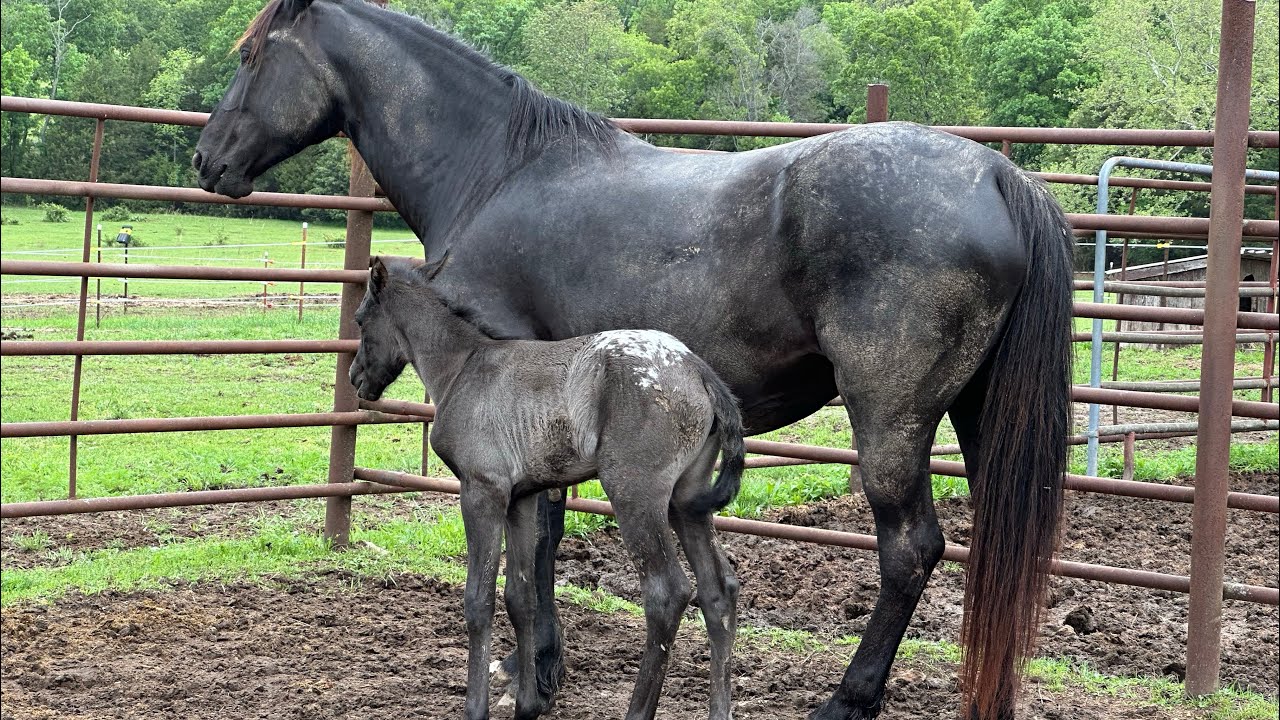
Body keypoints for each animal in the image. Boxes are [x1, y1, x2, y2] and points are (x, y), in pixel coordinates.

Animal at [350, 255, 745, 720]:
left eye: (360, 320)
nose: (357, 378)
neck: (463, 366)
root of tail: (696, 368)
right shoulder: (521, 499)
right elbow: (521, 598)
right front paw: (528, 704)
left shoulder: (482, 491)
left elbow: (479, 601)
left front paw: (476, 707)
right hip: (687, 501)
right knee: (719, 591)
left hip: (635, 494)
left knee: (667, 593)